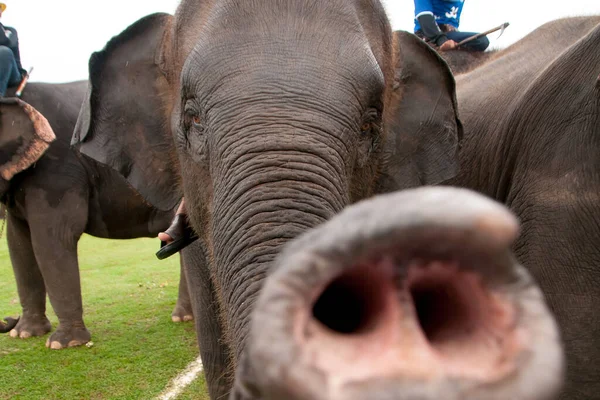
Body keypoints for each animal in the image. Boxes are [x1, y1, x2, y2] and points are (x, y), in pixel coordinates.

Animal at [0, 82, 192, 350]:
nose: (8, 319)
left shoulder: (57, 169)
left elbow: (53, 238)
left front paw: (64, 344)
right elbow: (18, 242)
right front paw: (25, 333)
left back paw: (182, 318)